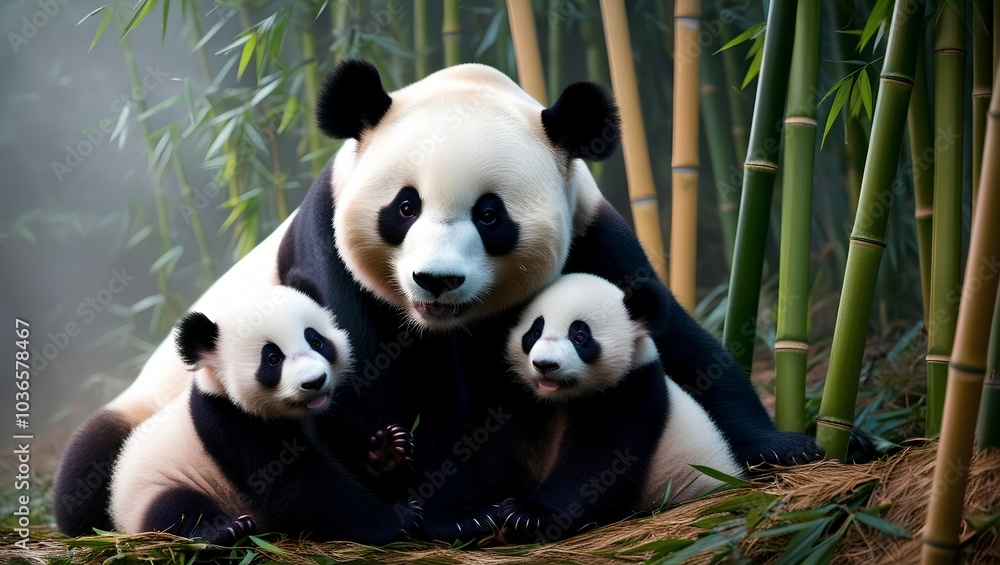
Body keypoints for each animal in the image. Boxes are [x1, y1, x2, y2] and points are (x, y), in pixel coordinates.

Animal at [107, 285, 420, 545]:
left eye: (316, 341)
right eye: (272, 359)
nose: (315, 381)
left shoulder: (324, 414)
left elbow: (342, 433)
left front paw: (386, 449)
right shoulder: (230, 421)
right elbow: (298, 487)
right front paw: (399, 518)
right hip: (157, 486)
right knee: (176, 509)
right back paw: (226, 530)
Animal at [498, 273, 744, 542]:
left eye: (580, 336)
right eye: (535, 332)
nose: (545, 365)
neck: (563, 399)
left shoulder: (632, 392)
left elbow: (599, 464)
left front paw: (527, 514)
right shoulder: (531, 402)